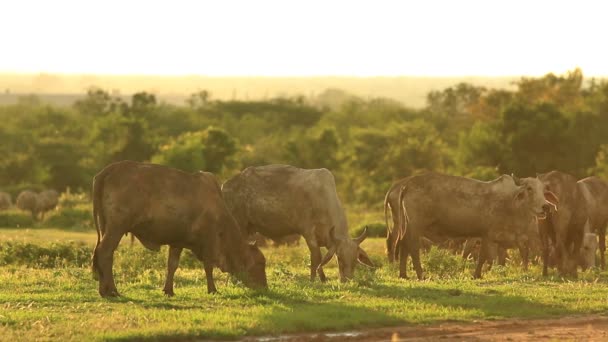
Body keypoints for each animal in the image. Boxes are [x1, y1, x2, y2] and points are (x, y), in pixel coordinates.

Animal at [91, 160, 268, 296]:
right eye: (260, 263)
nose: (264, 288)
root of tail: (108, 170)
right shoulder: (208, 241)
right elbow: (208, 267)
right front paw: (212, 289)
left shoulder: (177, 242)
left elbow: (172, 265)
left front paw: (168, 290)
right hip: (116, 228)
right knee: (105, 252)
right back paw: (111, 290)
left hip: (106, 227)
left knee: (102, 254)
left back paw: (104, 289)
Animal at [221, 164, 372, 282]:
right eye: (339, 258)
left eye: (355, 260)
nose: (347, 280)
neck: (323, 199)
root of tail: (225, 186)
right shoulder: (308, 233)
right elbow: (316, 257)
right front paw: (314, 280)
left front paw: (322, 279)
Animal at [392, 172, 560, 280]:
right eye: (529, 189)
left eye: (543, 190)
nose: (546, 207)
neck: (510, 203)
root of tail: (407, 185)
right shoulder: (487, 235)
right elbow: (483, 257)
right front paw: (476, 274)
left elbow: (487, 257)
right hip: (416, 227)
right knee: (413, 248)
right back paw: (420, 274)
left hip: (407, 226)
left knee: (403, 244)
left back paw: (403, 274)